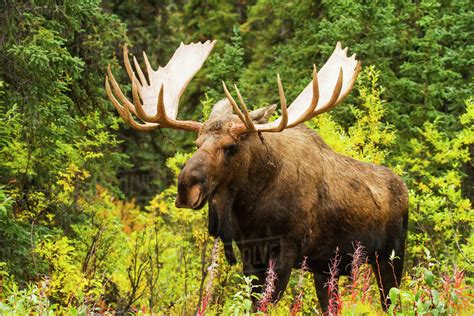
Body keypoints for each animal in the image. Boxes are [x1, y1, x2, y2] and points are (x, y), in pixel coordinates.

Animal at [105, 39, 410, 312]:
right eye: (197, 143)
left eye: (231, 147)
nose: (185, 188)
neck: (250, 208)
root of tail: (404, 189)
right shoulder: (249, 253)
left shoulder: (286, 250)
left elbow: (266, 303)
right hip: (326, 267)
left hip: (390, 258)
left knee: (392, 301)